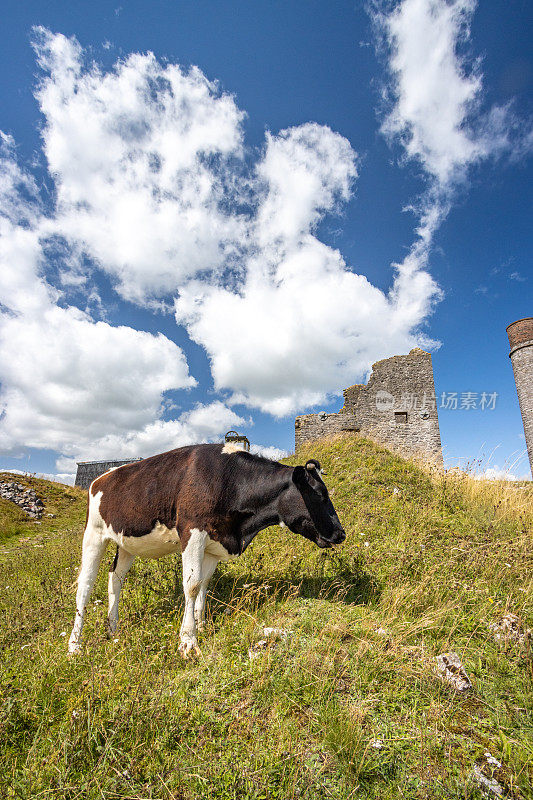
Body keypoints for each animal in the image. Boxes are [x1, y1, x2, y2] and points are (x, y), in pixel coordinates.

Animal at [68, 444, 344, 656]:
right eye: (320, 494)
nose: (341, 534)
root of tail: (102, 476)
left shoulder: (214, 543)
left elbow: (204, 584)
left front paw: (201, 626)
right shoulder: (192, 532)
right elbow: (191, 585)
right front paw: (188, 641)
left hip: (127, 543)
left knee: (115, 579)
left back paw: (112, 629)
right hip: (93, 534)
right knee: (85, 585)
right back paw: (74, 645)